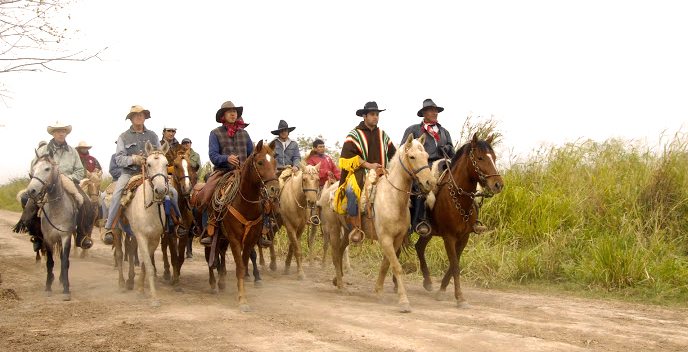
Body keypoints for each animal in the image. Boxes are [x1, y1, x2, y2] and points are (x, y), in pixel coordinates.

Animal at [24, 153, 81, 300]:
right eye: (34, 169)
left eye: (47, 168)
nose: (31, 190)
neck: (57, 210)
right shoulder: (48, 238)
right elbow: (50, 262)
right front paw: (48, 287)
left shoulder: (65, 236)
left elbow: (65, 261)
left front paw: (66, 289)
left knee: (63, 259)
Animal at [115, 142, 169, 306]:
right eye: (149, 164)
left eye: (166, 164)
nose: (160, 190)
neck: (149, 209)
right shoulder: (141, 236)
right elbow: (150, 267)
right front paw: (154, 298)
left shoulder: (154, 238)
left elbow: (146, 264)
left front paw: (140, 289)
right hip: (117, 230)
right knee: (120, 254)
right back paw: (121, 284)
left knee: (130, 251)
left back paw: (130, 282)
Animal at [159, 147, 196, 288]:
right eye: (175, 165)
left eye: (190, 166)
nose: (186, 188)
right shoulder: (171, 234)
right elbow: (174, 256)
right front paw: (175, 279)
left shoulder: (184, 234)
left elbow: (180, 258)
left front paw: (177, 275)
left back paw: (167, 272)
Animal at [322, 134, 436, 310]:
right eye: (412, 156)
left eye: (426, 156)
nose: (430, 183)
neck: (393, 198)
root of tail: (329, 189)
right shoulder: (386, 238)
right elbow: (396, 266)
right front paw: (404, 301)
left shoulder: (396, 240)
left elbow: (385, 265)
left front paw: (378, 291)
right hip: (334, 228)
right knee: (335, 254)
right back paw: (341, 286)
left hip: (348, 231)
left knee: (340, 252)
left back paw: (337, 279)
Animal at [414, 134, 506, 308]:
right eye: (480, 158)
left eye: (494, 157)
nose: (498, 185)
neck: (459, 198)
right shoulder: (449, 237)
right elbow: (455, 265)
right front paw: (460, 298)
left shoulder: (464, 237)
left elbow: (453, 264)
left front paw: (442, 290)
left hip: (429, 232)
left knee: (419, 247)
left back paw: (428, 282)